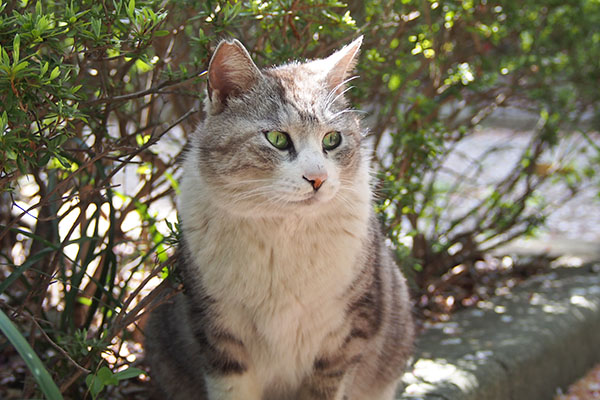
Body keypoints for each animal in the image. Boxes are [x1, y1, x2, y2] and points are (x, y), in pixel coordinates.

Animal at [145, 36, 414, 400]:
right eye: (276, 139)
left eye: (332, 139)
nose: (318, 178)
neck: (285, 228)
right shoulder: (218, 331)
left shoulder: (346, 334)